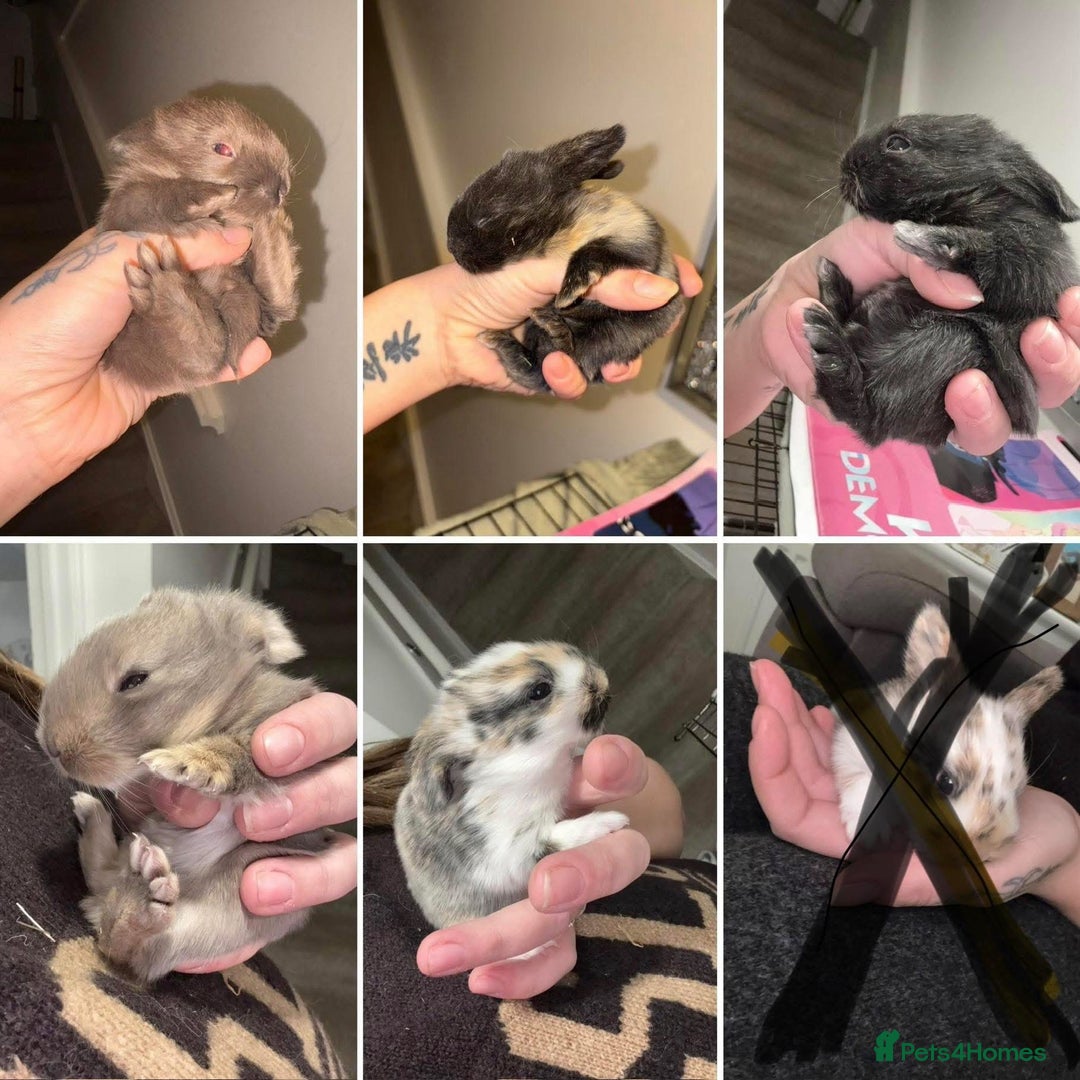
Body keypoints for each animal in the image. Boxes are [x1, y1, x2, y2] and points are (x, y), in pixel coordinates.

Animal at [35, 588, 334, 983]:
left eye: (135, 679)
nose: (51, 746)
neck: (224, 705)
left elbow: (244, 752)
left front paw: (184, 763)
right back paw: (99, 824)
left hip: (223, 912)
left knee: (139, 949)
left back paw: (142, 890)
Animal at [96, 96, 300, 393]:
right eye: (222, 148)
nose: (281, 189)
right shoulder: (127, 205)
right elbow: (148, 198)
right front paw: (211, 197)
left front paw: (270, 221)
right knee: (201, 355)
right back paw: (164, 290)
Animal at [446, 125, 684, 392]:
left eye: (485, 219)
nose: (451, 249)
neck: (562, 227)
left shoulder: (636, 244)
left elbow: (592, 251)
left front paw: (568, 293)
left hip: (612, 335)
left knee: (574, 356)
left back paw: (552, 325)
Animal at [806, 114, 1080, 447]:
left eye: (898, 143)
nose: (845, 165)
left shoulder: (1039, 264)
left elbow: (998, 253)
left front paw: (928, 239)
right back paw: (832, 292)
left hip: (954, 340)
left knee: (867, 417)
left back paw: (831, 343)